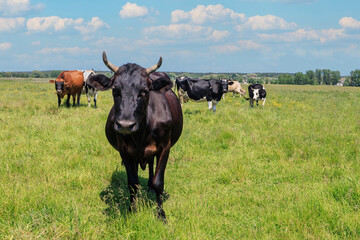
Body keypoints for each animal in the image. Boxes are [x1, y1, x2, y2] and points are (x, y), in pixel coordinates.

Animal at [87, 51, 183, 220]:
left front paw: (161, 214)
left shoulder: (165, 147)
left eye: (144, 91)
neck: (141, 134)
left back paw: (150, 186)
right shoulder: (125, 151)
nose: (125, 125)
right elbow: (133, 183)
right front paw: (132, 210)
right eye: (115, 90)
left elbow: (159, 182)